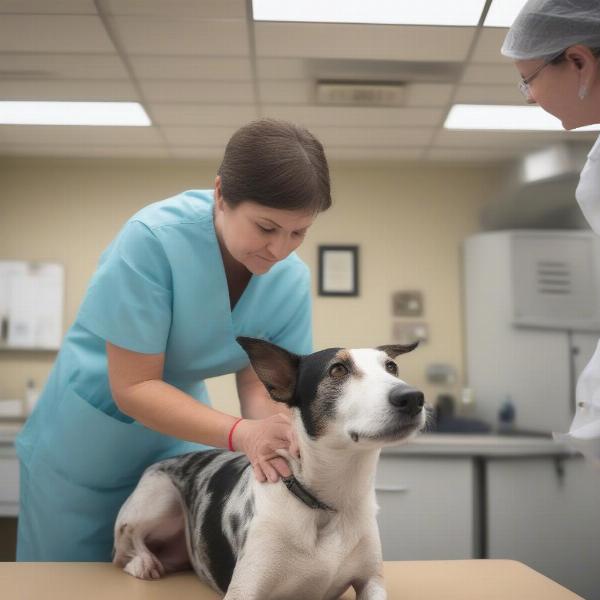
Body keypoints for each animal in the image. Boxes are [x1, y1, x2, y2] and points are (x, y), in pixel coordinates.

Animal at [113, 338, 426, 600]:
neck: (328, 504)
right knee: (124, 547)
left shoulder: (372, 580)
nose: (413, 397)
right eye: (337, 370)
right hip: (159, 494)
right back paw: (142, 562)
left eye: (391, 367)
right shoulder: (245, 589)